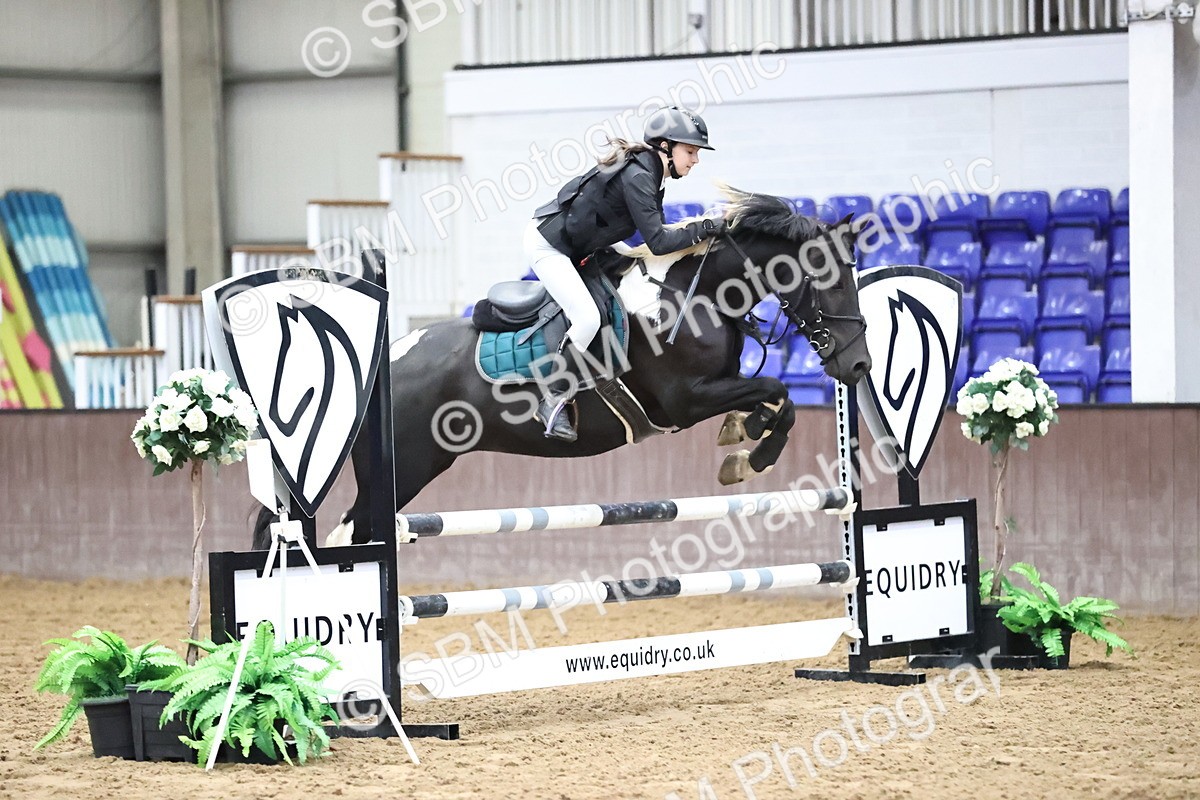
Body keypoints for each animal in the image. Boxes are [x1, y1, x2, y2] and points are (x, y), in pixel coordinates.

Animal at [251, 188, 871, 549]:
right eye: (827, 278)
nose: (859, 364)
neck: (696, 291)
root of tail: (377, 364)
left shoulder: (714, 389)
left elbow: (774, 399)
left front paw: (744, 436)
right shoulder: (685, 399)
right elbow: (777, 393)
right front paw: (750, 457)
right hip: (402, 469)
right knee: (350, 532)